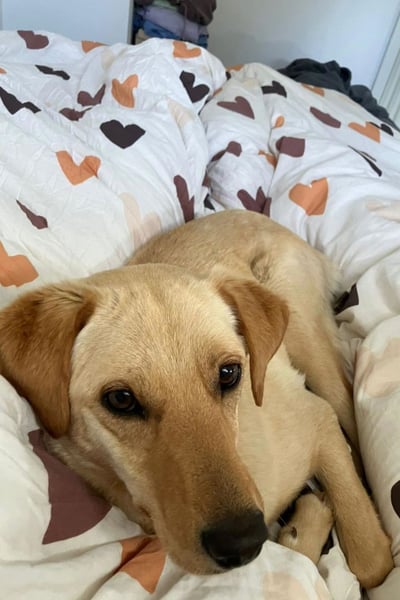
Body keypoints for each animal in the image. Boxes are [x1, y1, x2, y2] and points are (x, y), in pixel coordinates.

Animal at [0, 210, 393, 588]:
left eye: (229, 373)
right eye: (121, 399)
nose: (242, 543)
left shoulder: (316, 418)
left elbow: (371, 561)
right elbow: (300, 562)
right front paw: (306, 524)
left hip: (304, 334)